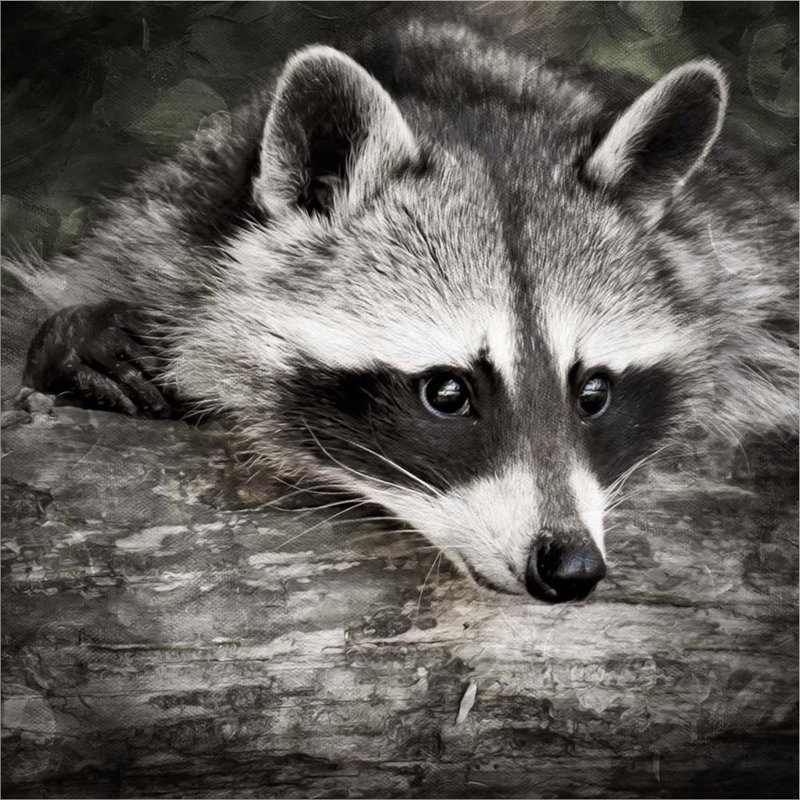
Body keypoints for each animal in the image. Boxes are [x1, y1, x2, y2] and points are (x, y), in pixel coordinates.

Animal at [14, 22, 798, 602]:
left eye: (594, 392)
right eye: (447, 392)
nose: (571, 567)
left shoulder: (749, 278)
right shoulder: (160, 224)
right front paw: (77, 344)